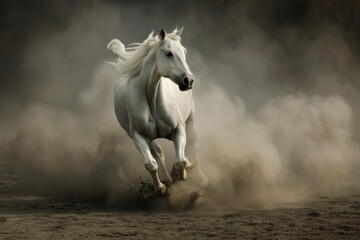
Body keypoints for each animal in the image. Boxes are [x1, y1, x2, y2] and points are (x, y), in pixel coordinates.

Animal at [107, 27, 205, 195]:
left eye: (184, 52)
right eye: (169, 53)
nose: (188, 80)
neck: (152, 98)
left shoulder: (179, 129)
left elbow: (180, 161)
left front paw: (183, 173)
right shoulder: (137, 136)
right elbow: (151, 164)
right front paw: (161, 187)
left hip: (190, 120)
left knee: (193, 145)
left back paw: (199, 176)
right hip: (144, 137)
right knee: (158, 153)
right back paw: (167, 179)